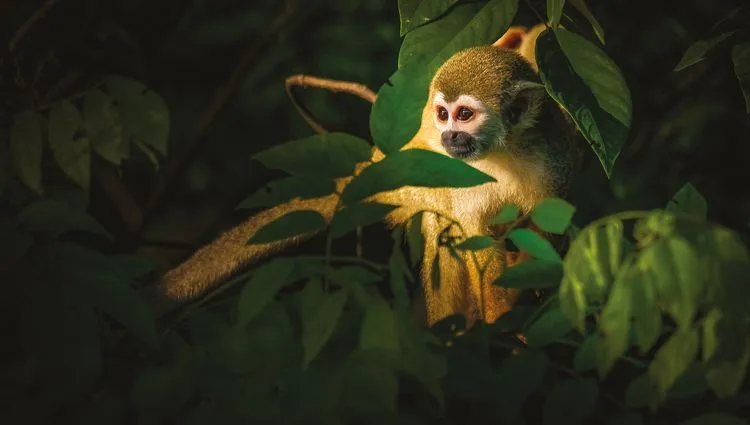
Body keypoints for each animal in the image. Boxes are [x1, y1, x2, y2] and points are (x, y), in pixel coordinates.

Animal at [150, 25, 584, 324]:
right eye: (444, 115)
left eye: (464, 115)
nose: (449, 136)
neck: (501, 152)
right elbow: (477, 244)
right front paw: (501, 319)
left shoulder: (555, 154)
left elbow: (548, 231)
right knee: (441, 227)